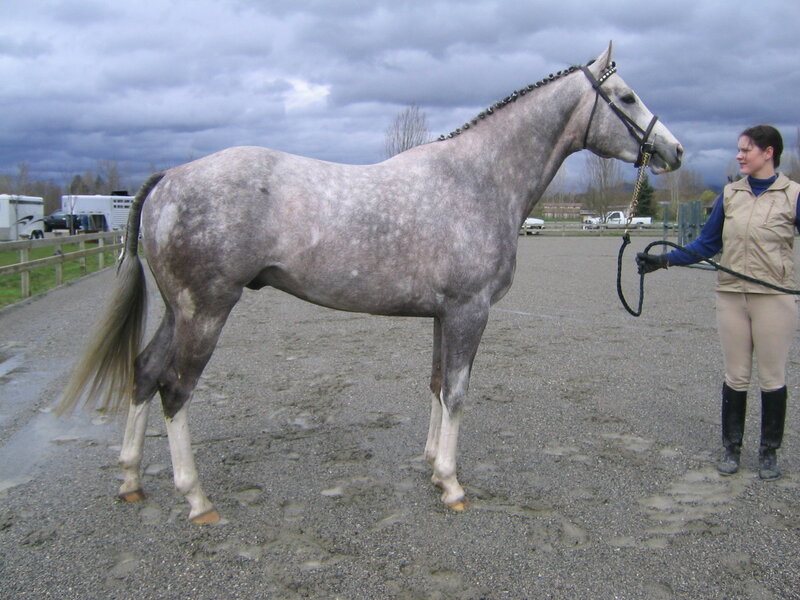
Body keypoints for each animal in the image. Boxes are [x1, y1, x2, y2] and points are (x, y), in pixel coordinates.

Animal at [58, 43, 682, 523]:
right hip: (206, 311)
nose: (673, 150)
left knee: (144, 372)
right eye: (627, 96)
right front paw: (452, 485)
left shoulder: (444, 316)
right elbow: (458, 393)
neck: (478, 179)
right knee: (175, 389)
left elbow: (437, 385)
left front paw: (432, 469)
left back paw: (131, 481)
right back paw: (197, 500)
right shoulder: (470, 312)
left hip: (179, 310)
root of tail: (170, 177)